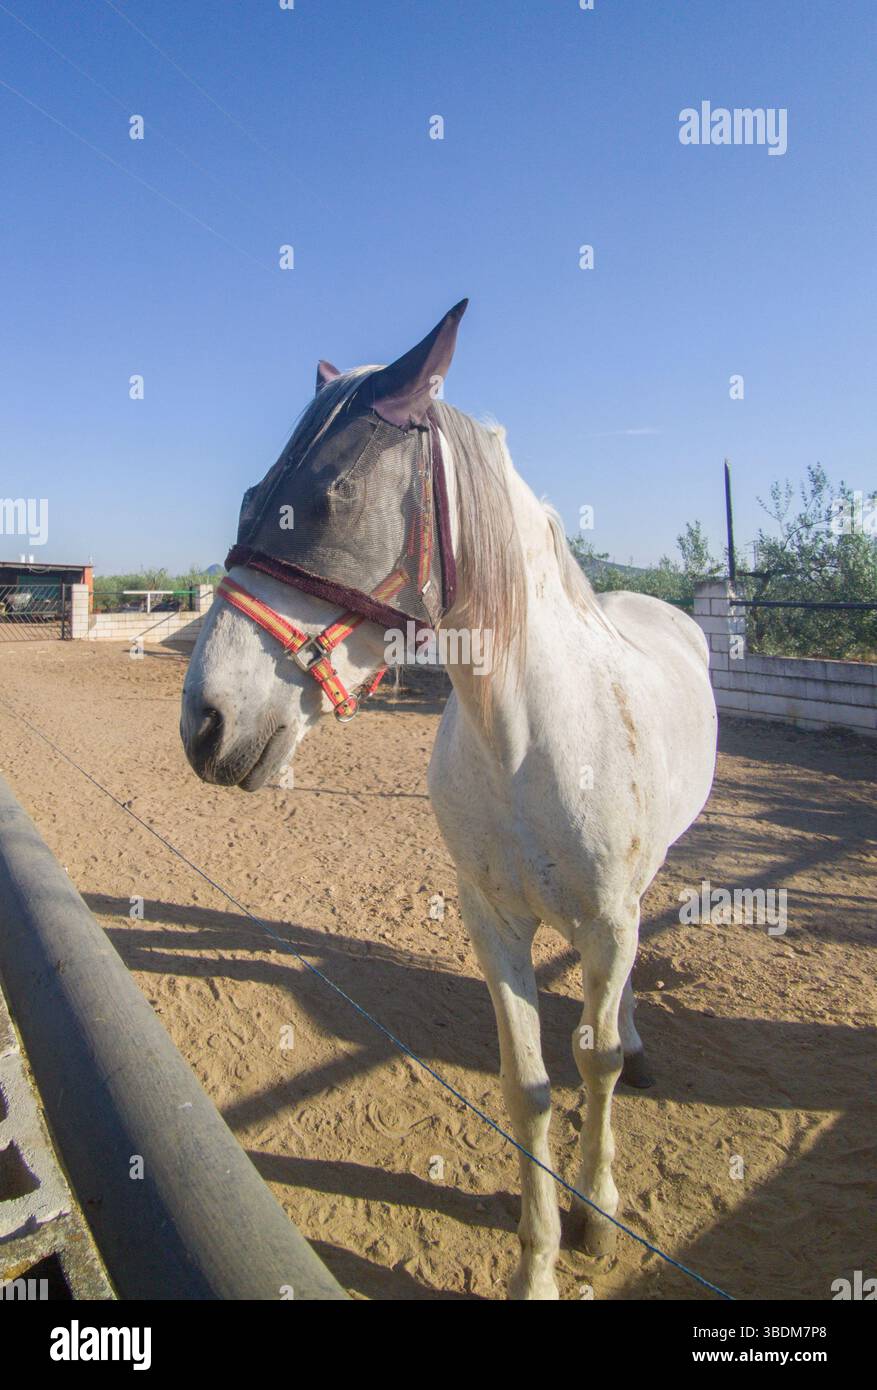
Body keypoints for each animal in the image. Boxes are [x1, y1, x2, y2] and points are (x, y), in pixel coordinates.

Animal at [180, 301, 717, 1300]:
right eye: (249, 496)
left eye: (333, 497)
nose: (204, 724)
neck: (527, 742)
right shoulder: (491, 919)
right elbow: (529, 1085)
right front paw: (536, 1265)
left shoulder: (602, 920)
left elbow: (589, 1064)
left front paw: (596, 1214)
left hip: (638, 889)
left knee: (619, 996)